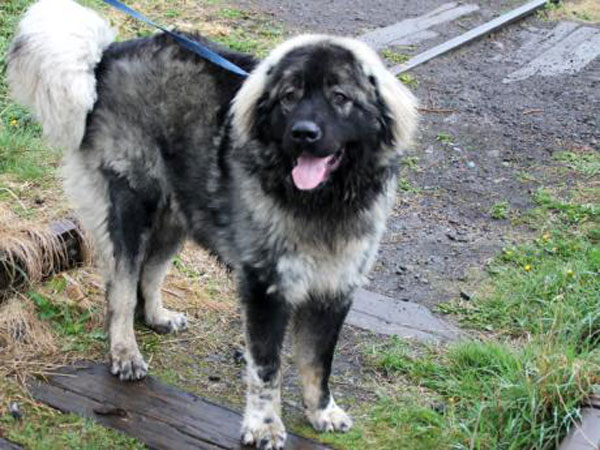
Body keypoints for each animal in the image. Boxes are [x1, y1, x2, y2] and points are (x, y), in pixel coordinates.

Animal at [7, 1, 418, 448]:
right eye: (289, 98)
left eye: (340, 97)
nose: (303, 133)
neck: (320, 203)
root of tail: (107, 56)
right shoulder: (265, 289)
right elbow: (267, 369)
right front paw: (264, 425)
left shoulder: (334, 289)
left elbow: (317, 363)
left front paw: (321, 411)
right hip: (133, 206)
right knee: (121, 288)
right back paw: (125, 353)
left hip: (178, 213)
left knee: (149, 274)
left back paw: (157, 317)